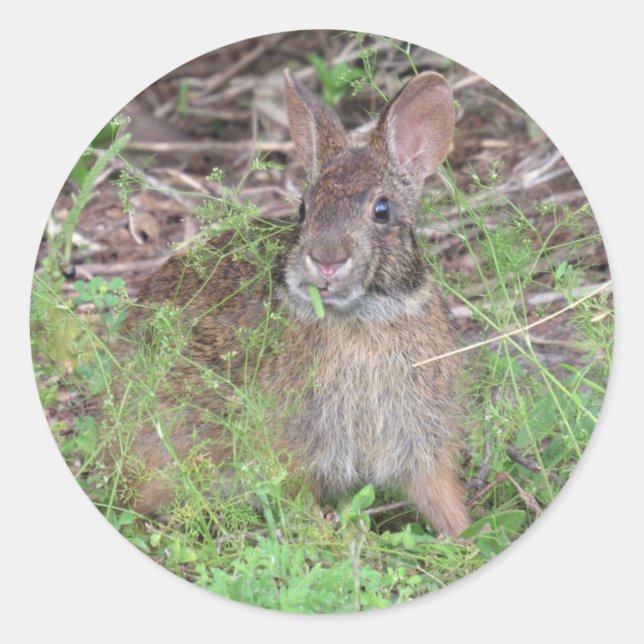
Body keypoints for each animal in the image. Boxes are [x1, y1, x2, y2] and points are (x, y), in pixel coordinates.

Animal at [117, 68, 470, 539]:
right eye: (304, 208)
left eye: (382, 209)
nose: (326, 260)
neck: (360, 317)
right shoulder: (293, 446)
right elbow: (297, 495)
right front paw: (324, 533)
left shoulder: (420, 437)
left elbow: (438, 492)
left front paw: (466, 535)